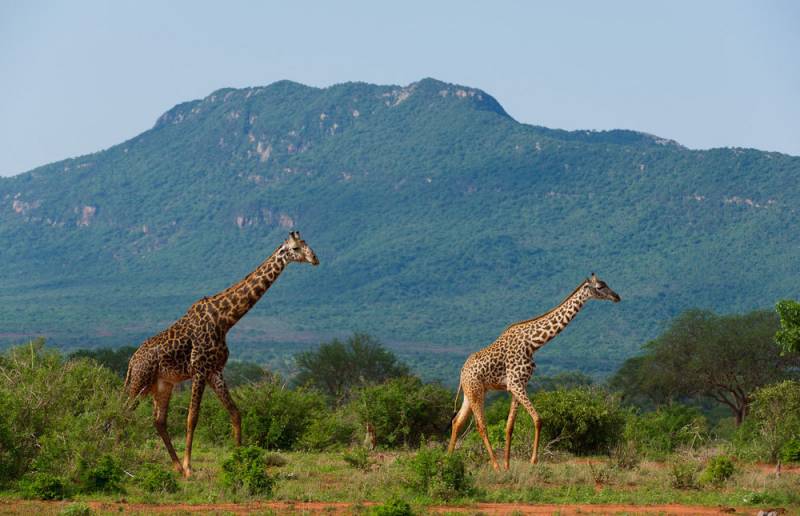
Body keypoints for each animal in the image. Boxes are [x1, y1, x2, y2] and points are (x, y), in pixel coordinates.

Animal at [123, 232, 318, 478]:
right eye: (295, 248)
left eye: (307, 244)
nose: (315, 259)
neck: (225, 319)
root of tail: (131, 361)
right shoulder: (199, 369)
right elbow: (192, 417)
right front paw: (190, 467)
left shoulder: (215, 371)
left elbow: (235, 412)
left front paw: (240, 460)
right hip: (140, 382)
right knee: (123, 412)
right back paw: (120, 455)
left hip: (162, 385)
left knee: (158, 421)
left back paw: (175, 466)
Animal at [446, 274, 620, 472]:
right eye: (600, 287)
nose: (616, 296)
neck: (533, 343)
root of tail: (462, 372)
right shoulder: (516, 384)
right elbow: (538, 419)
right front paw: (532, 461)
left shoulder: (517, 386)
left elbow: (509, 426)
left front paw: (508, 466)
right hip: (476, 391)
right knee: (480, 425)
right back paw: (494, 465)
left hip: (471, 392)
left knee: (457, 421)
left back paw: (448, 459)